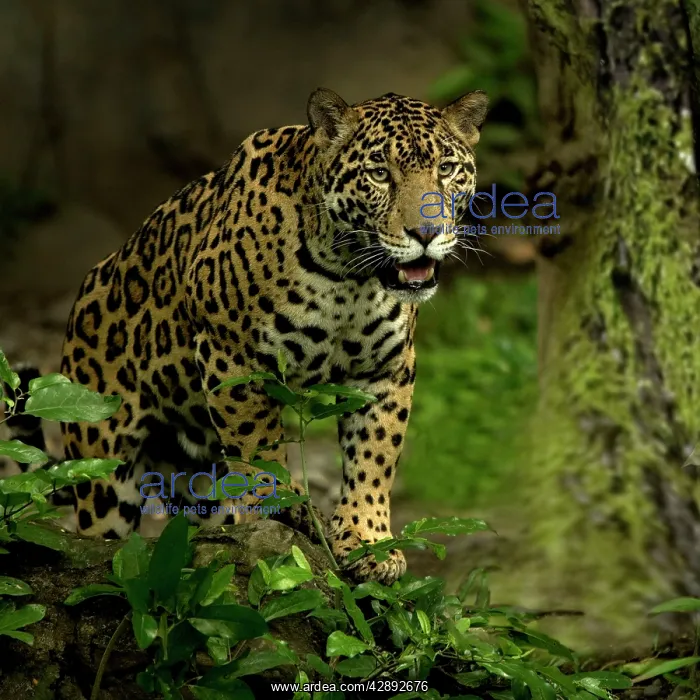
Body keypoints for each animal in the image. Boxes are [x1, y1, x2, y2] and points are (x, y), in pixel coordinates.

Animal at [57, 88, 488, 584]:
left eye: (447, 170)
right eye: (380, 174)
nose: (427, 233)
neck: (349, 277)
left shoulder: (386, 369)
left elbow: (374, 457)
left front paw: (367, 540)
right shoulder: (232, 357)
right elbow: (257, 443)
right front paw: (276, 505)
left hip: (196, 476)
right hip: (103, 469)